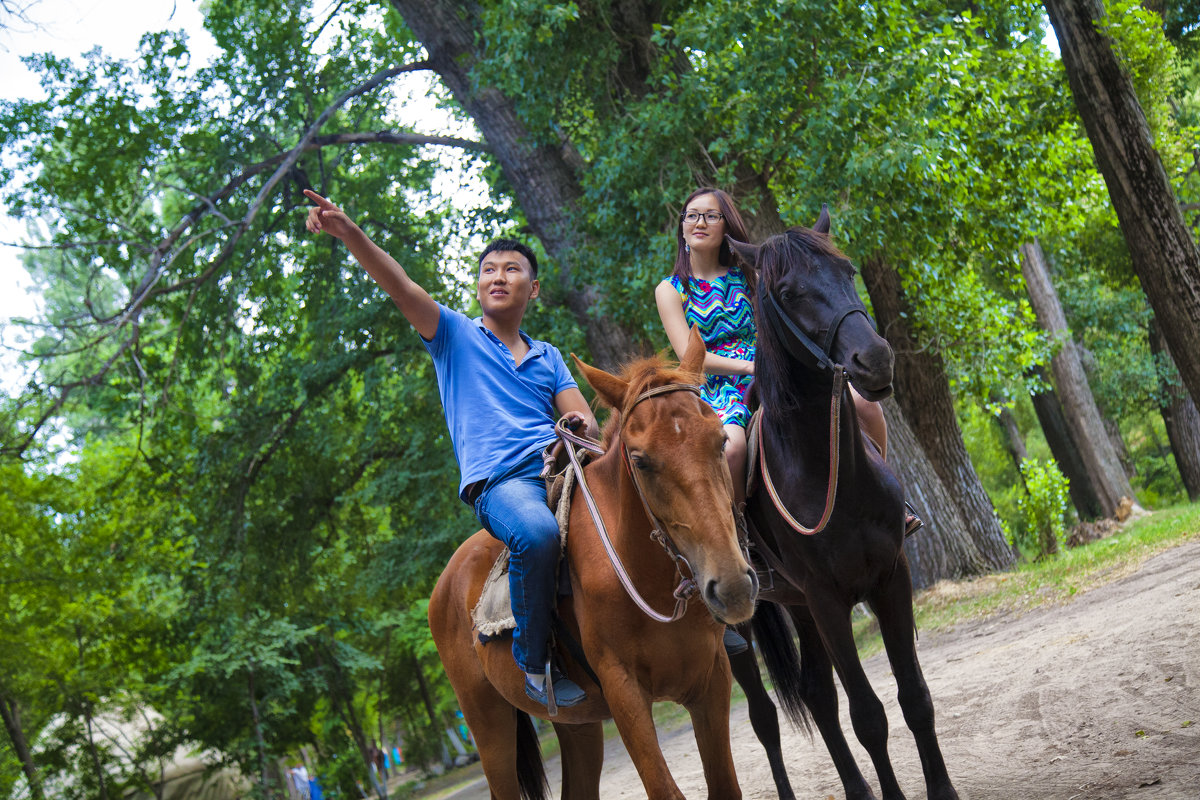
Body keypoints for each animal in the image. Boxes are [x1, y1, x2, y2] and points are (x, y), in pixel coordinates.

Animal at [427, 326, 753, 800]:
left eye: (721, 441)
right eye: (640, 460)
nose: (731, 586)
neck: (644, 574)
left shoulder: (712, 679)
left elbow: (725, 785)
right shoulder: (624, 693)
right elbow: (664, 789)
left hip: (576, 726)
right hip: (488, 724)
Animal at [720, 212, 955, 800]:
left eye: (847, 271)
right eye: (788, 292)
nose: (874, 359)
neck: (832, 474)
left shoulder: (890, 578)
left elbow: (914, 698)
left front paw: (941, 790)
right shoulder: (828, 602)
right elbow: (869, 716)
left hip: (798, 606)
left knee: (817, 697)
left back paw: (856, 788)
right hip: (739, 630)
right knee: (764, 716)